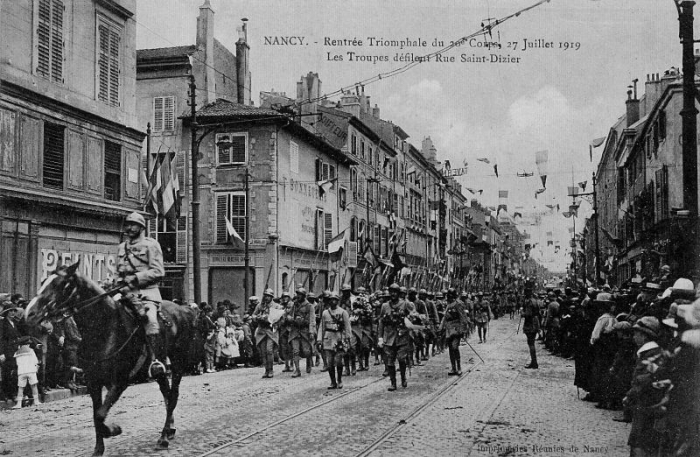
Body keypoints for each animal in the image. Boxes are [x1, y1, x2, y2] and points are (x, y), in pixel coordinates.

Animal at [24, 262, 197, 454]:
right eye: (43, 282)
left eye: (63, 284)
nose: (30, 313)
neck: (105, 328)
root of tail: (183, 309)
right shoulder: (93, 382)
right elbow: (96, 415)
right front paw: (98, 449)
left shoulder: (120, 381)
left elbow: (100, 414)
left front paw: (113, 430)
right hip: (160, 370)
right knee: (166, 393)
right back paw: (169, 430)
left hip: (178, 362)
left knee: (172, 396)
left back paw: (164, 437)